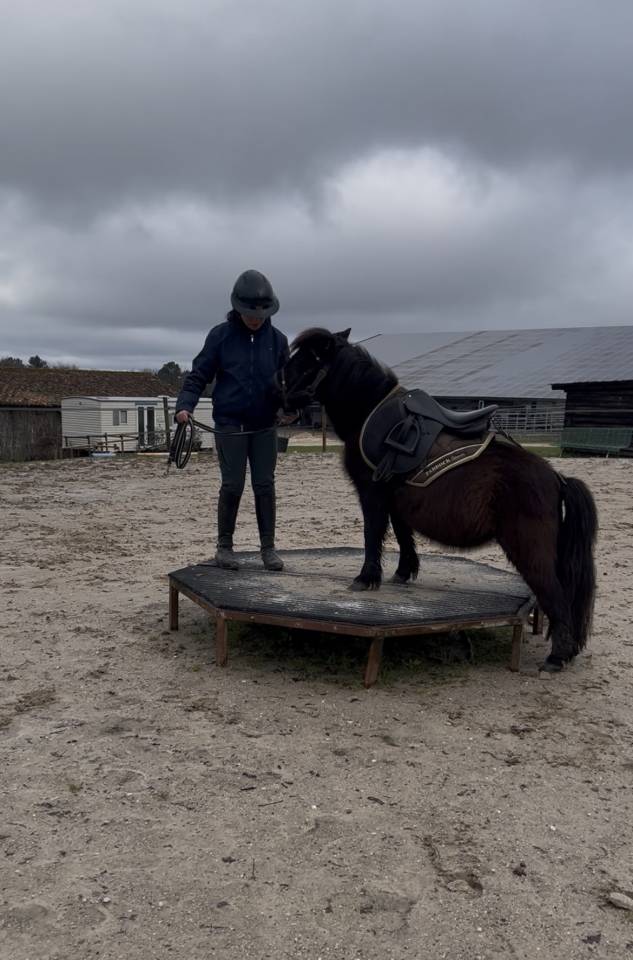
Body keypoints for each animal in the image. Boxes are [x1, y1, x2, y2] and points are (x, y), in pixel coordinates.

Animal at [277, 327, 598, 673]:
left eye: (307, 362)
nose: (279, 399)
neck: (369, 414)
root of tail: (555, 477)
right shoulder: (395, 499)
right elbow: (402, 535)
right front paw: (402, 573)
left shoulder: (372, 493)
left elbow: (372, 535)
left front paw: (365, 579)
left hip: (528, 548)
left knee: (556, 595)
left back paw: (556, 657)